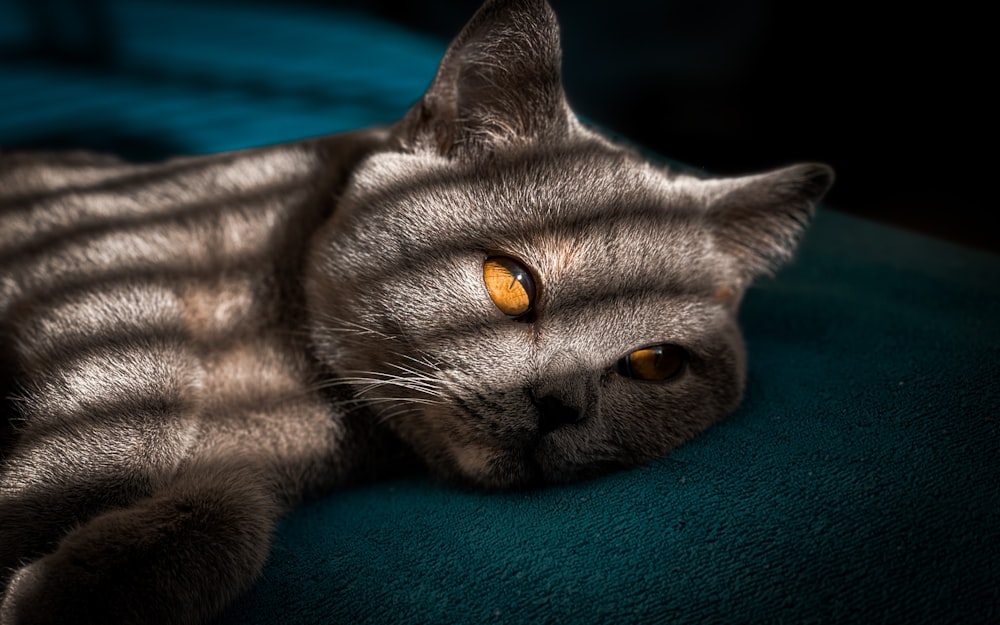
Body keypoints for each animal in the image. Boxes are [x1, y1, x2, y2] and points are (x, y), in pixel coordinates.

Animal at [0, 0, 828, 620]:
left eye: (656, 363)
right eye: (511, 281)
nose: (561, 403)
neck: (286, 375)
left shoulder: (258, 466)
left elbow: (225, 521)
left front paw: (59, 594)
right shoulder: (102, 248)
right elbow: (139, 384)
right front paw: (28, 528)